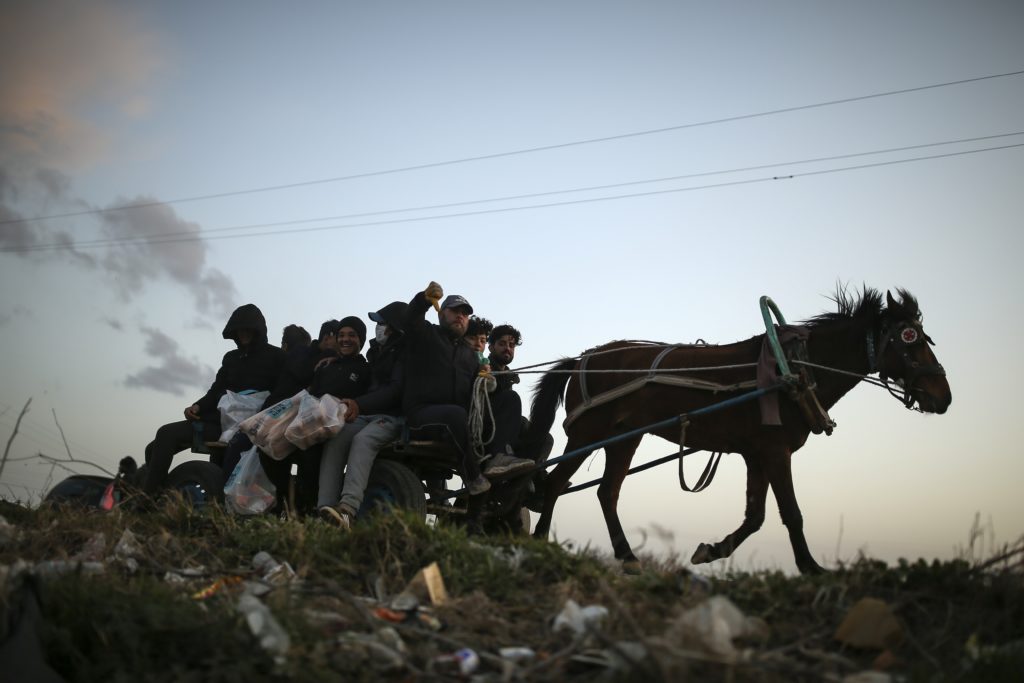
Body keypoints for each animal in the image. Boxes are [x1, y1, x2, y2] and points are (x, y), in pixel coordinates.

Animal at [524, 286, 954, 573]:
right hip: (587, 434)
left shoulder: (757, 454)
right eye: (910, 339)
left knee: (606, 492)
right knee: (557, 483)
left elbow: (756, 516)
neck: (793, 368)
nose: (944, 397)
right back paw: (540, 540)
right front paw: (811, 568)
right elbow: (791, 513)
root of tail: (582, 357)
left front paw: (712, 550)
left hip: (624, 438)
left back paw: (627, 557)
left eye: (924, 338)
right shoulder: (775, 451)